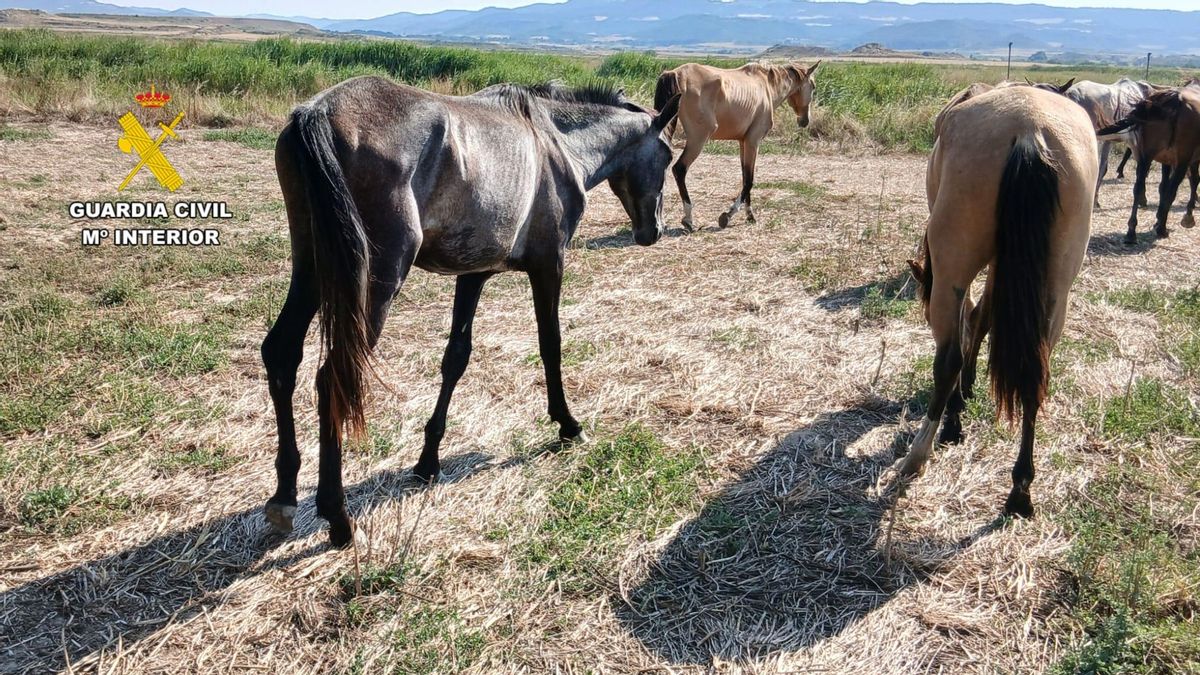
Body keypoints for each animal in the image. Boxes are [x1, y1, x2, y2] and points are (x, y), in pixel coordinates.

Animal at [262, 76, 681, 546]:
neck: (556, 142)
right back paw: (337, 516)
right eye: (667, 155)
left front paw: (428, 459)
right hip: (376, 279)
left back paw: (284, 496)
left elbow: (455, 358)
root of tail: (317, 112)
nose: (653, 230)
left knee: (281, 354)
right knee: (334, 376)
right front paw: (567, 423)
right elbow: (550, 344)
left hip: (314, 267)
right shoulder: (549, 264)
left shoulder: (474, 274)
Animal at [653, 60, 819, 230]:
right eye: (813, 86)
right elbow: (750, 180)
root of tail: (675, 73)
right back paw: (689, 219)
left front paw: (750, 215)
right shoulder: (753, 141)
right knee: (679, 169)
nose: (805, 121)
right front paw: (728, 215)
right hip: (697, 140)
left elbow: (745, 176)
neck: (766, 85)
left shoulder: (743, 142)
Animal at [904, 86, 1097, 517]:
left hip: (952, 270)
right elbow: (983, 319)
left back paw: (921, 450)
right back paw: (1020, 488)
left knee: (948, 358)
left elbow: (969, 324)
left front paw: (957, 409)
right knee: (1035, 375)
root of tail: (1029, 130)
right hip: (1055, 287)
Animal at [1099, 87, 1200, 243]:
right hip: (1180, 162)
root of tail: (1176, 100)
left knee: (1139, 187)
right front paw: (1188, 216)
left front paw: (1158, 218)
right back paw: (1162, 229)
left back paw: (1131, 231)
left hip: (1146, 156)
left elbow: (1163, 187)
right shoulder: (1187, 160)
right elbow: (1193, 181)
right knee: (1172, 191)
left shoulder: (1166, 160)